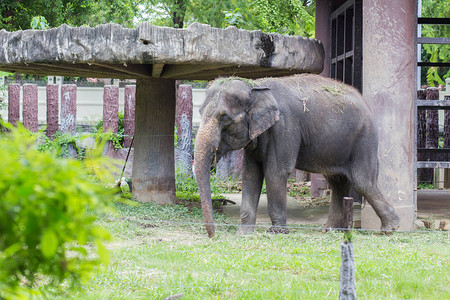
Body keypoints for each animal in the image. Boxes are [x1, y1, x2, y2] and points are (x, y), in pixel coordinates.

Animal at [194, 73, 400, 237]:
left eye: (224, 118)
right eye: (199, 112)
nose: (213, 235)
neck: (255, 86)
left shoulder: (284, 127)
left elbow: (275, 172)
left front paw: (276, 232)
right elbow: (251, 175)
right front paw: (244, 233)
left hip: (364, 139)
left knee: (362, 182)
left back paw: (390, 229)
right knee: (338, 181)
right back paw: (331, 230)